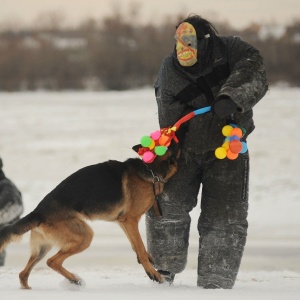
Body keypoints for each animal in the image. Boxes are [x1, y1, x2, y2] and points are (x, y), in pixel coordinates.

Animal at [0, 143, 179, 288]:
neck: (151, 170)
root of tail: (38, 212)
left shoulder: (123, 222)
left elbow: (135, 245)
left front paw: (147, 259)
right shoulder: (130, 220)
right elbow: (140, 247)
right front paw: (152, 272)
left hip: (42, 248)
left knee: (23, 274)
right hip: (84, 236)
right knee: (52, 261)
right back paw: (74, 279)